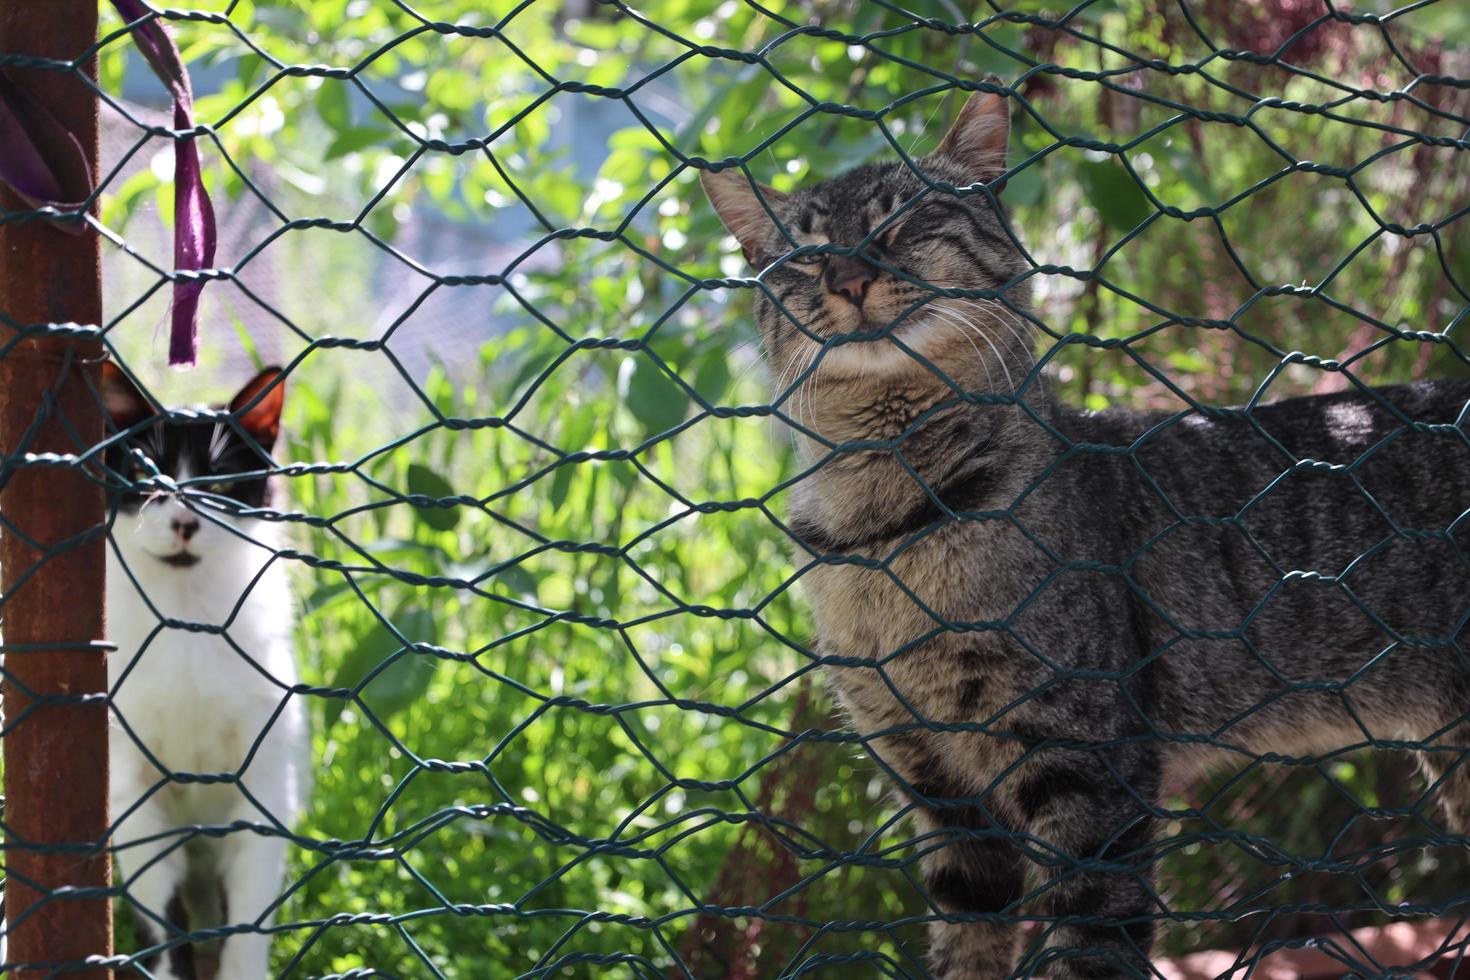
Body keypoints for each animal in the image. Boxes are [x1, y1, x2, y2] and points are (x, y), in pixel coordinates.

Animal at [101, 362, 310, 980]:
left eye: (217, 485)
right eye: (144, 478)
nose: (184, 521)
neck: (188, 618)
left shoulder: (265, 783)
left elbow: (248, 918)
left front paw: (241, 967)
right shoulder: (133, 796)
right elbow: (169, 924)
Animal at [696, 74, 1470, 975]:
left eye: (905, 223)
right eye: (808, 255)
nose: (849, 277)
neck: (889, 528)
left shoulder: (1090, 772)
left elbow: (1086, 944)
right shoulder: (940, 792)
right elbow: (965, 947)